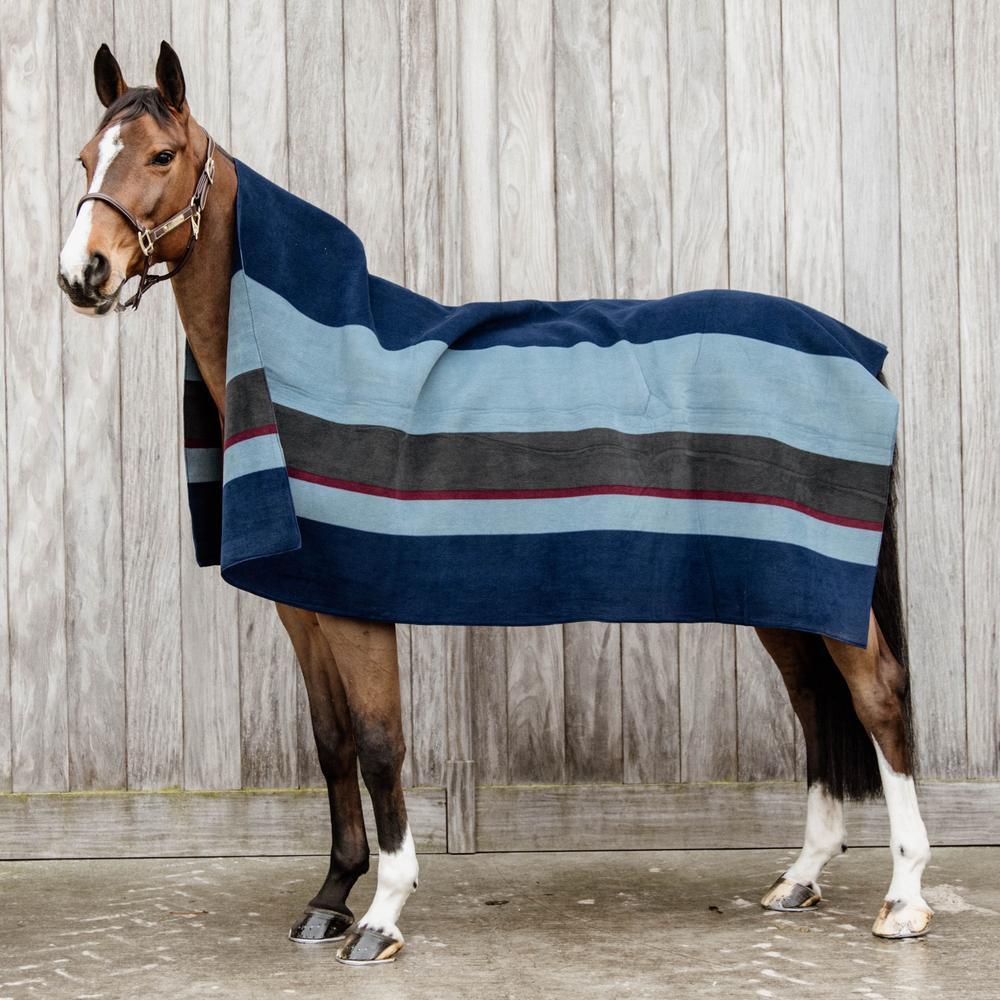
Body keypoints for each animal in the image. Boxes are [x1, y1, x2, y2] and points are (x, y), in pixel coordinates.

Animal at [57, 41, 934, 965]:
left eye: (161, 156)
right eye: (85, 159)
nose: (84, 273)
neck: (312, 364)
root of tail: (857, 349)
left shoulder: (359, 607)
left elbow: (379, 746)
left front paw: (381, 915)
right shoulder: (305, 606)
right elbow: (332, 744)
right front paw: (329, 899)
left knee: (878, 697)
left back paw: (906, 896)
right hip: (779, 590)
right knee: (814, 704)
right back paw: (800, 877)